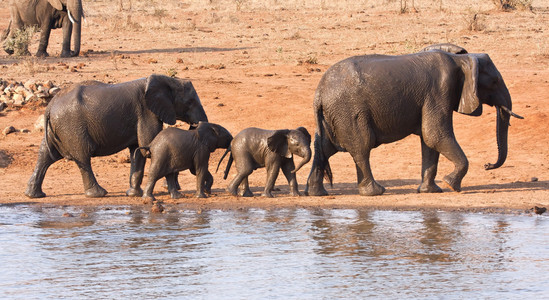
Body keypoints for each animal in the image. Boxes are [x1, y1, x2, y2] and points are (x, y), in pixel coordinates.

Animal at [23, 74, 209, 198]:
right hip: (72, 127)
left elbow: (138, 150)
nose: (195, 125)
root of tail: (50, 106)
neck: (168, 80)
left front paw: (133, 194)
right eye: (190, 102)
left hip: (58, 129)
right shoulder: (146, 112)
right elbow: (149, 145)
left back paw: (34, 195)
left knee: (45, 155)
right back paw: (98, 194)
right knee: (83, 157)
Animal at [304, 49, 524, 197]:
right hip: (349, 111)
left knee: (325, 148)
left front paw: (431, 191)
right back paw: (376, 191)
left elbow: (429, 142)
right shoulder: (440, 90)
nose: (487, 165)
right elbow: (435, 135)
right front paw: (451, 185)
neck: (462, 59)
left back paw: (317, 193)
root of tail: (318, 93)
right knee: (362, 147)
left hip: (332, 115)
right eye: (495, 81)